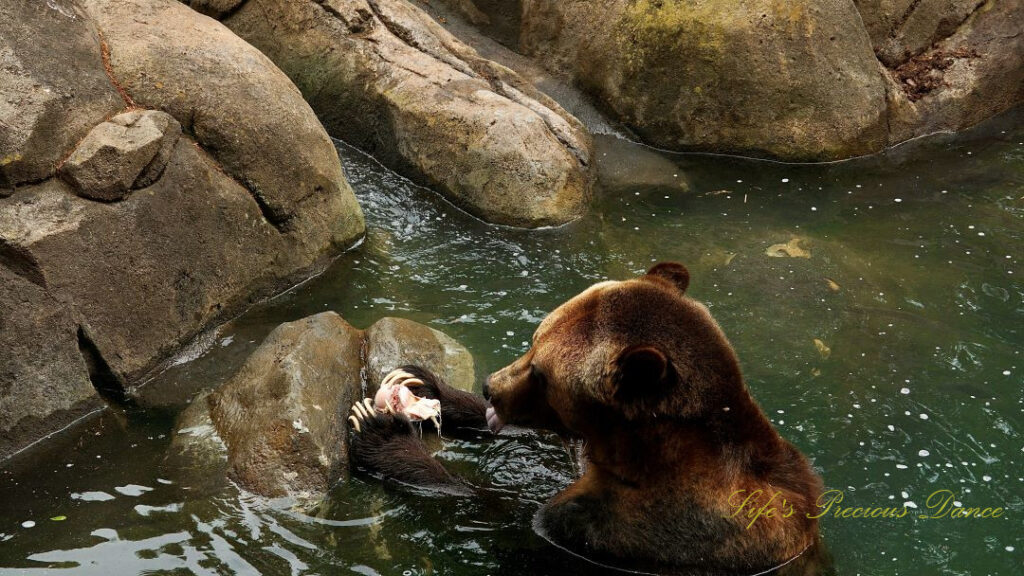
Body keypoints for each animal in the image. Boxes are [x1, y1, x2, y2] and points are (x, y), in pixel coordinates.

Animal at [350, 264, 823, 569]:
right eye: (534, 338)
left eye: (541, 373)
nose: (490, 386)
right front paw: (424, 387)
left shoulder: (633, 529)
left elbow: (498, 518)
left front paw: (382, 433)